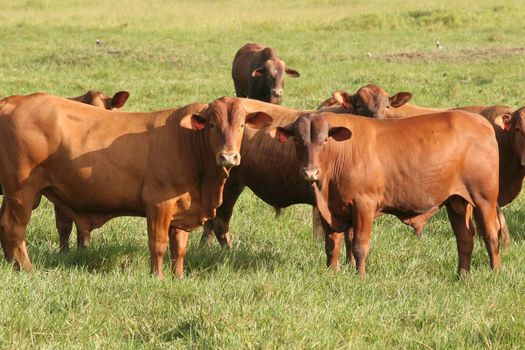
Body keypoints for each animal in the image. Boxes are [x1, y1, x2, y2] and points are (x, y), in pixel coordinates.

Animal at [0, 94, 272, 278]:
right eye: (213, 125)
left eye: (242, 125)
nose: (228, 157)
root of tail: (12, 101)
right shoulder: (159, 203)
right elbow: (158, 244)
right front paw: (157, 277)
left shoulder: (183, 208)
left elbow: (179, 248)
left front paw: (178, 277)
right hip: (22, 193)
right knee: (14, 229)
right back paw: (27, 269)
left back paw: (11, 265)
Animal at [274, 110, 500, 278]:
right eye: (297, 141)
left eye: (324, 141)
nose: (310, 172)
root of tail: (481, 121)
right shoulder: (329, 210)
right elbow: (332, 245)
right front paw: (330, 273)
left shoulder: (364, 205)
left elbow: (359, 245)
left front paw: (360, 277)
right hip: (456, 202)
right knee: (464, 239)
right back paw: (462, 275)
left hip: (484, 198)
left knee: (491, 234)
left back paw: (495, 272)